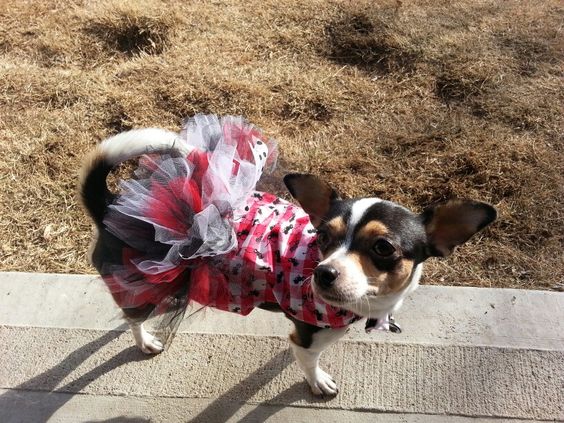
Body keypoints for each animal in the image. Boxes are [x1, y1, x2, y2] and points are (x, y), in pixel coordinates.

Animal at [79, 123, 494, 398]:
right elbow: (308, 360)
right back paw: (146, 339)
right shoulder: (307, 338)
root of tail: (110, 206)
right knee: (134, 317)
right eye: (323, 236)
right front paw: (317, 382)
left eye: (383, 248)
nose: (323, 274)